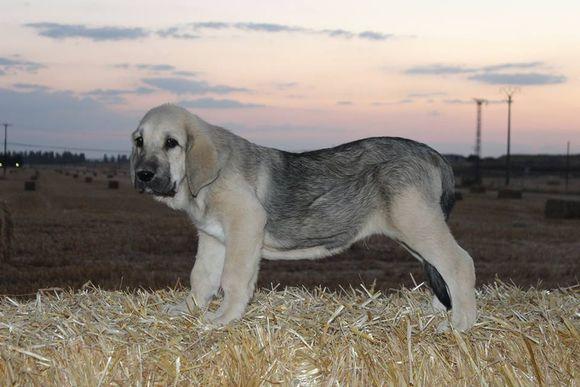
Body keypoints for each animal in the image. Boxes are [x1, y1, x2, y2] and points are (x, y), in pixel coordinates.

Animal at [130, 104, 476, 332]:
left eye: (172, 143)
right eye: (139, 141)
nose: (142, 175)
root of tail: (433, 155)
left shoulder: (245, 224)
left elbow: (233, 279)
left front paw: (223, 319)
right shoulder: (214, 239)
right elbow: (201, 278)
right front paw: (186, 310)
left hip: (418, 224)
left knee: (460, 264)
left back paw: (460, 325)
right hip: (416, 232)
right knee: (441, 269)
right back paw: (440, 311)